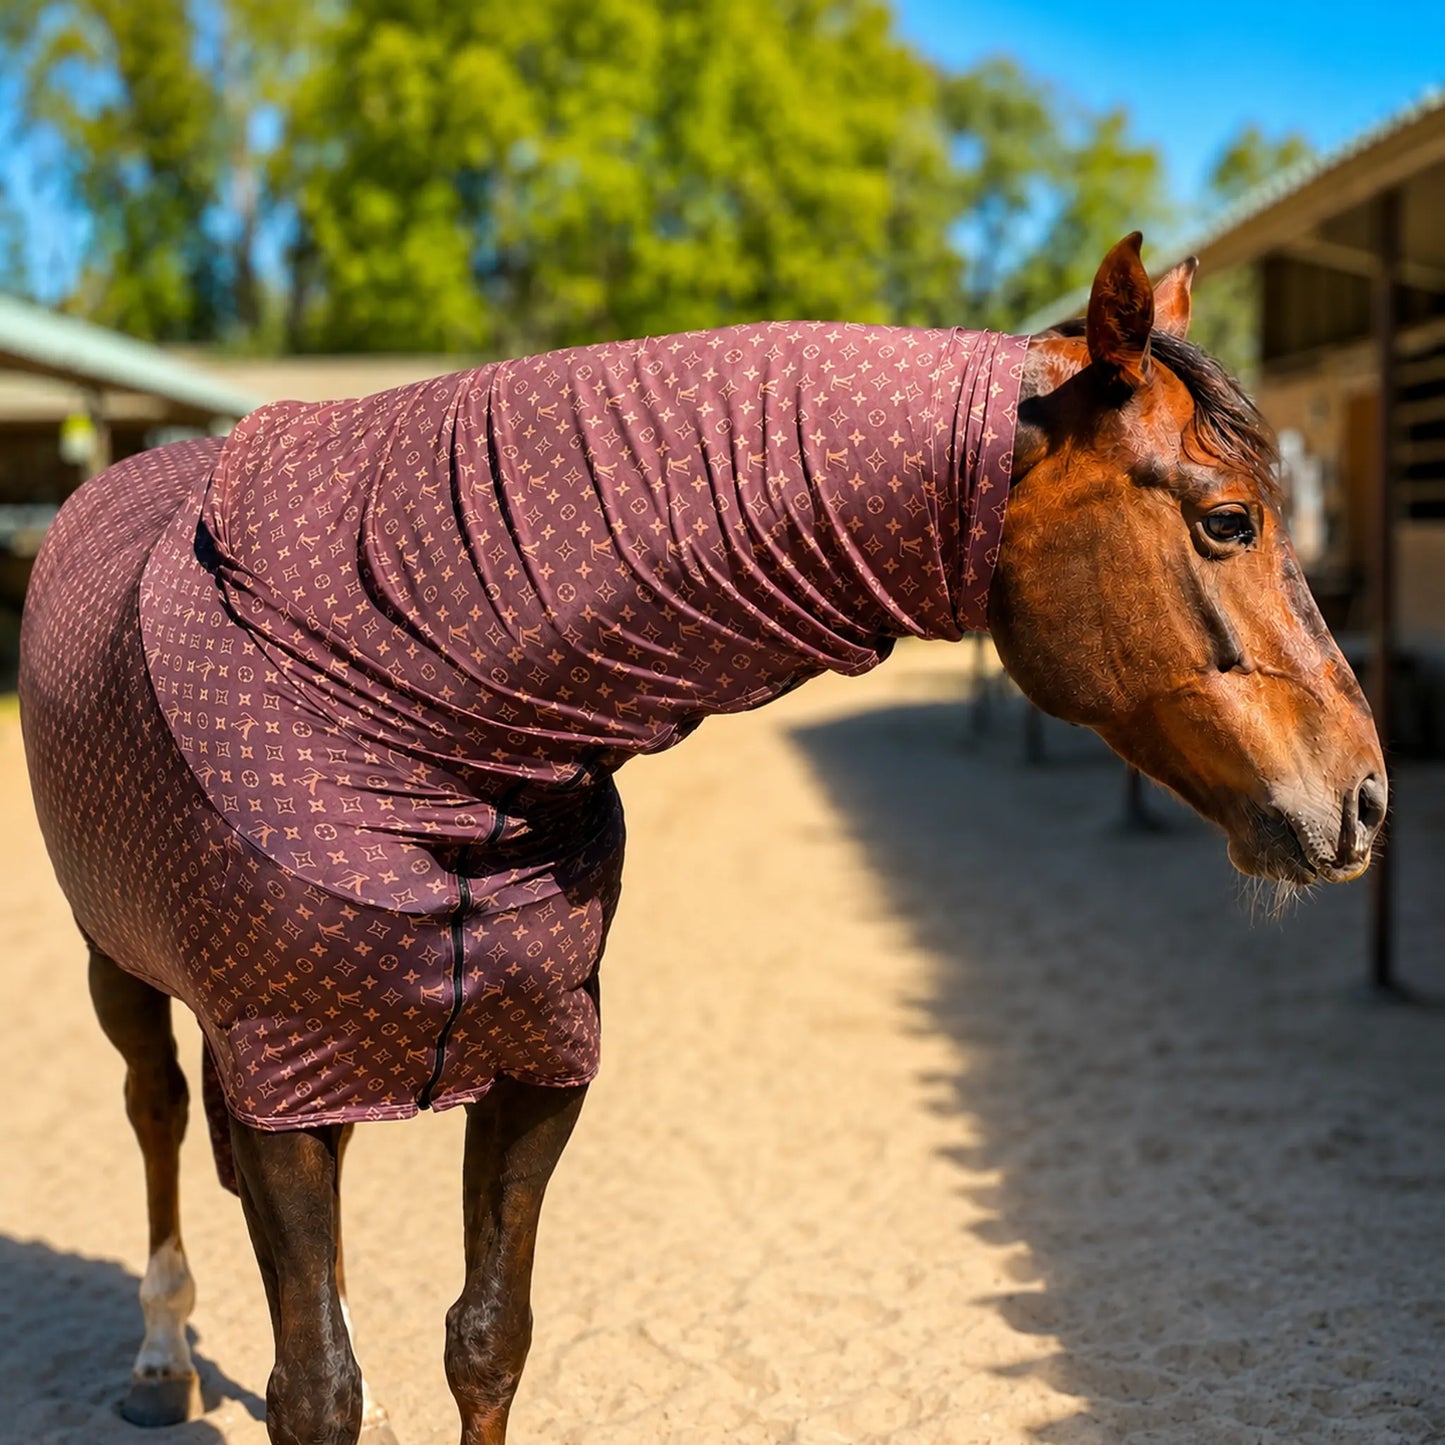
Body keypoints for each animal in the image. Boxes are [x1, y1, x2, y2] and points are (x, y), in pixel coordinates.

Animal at [17, 233, 1385, 1445]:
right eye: (1226, 520)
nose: (1364, 795)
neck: (412, 711)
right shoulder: (282, 1077)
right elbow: (313, 1393)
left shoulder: (528, 1064)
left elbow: (484, 1341)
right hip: (121, 965)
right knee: (155, 1115)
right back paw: (159, 1360)